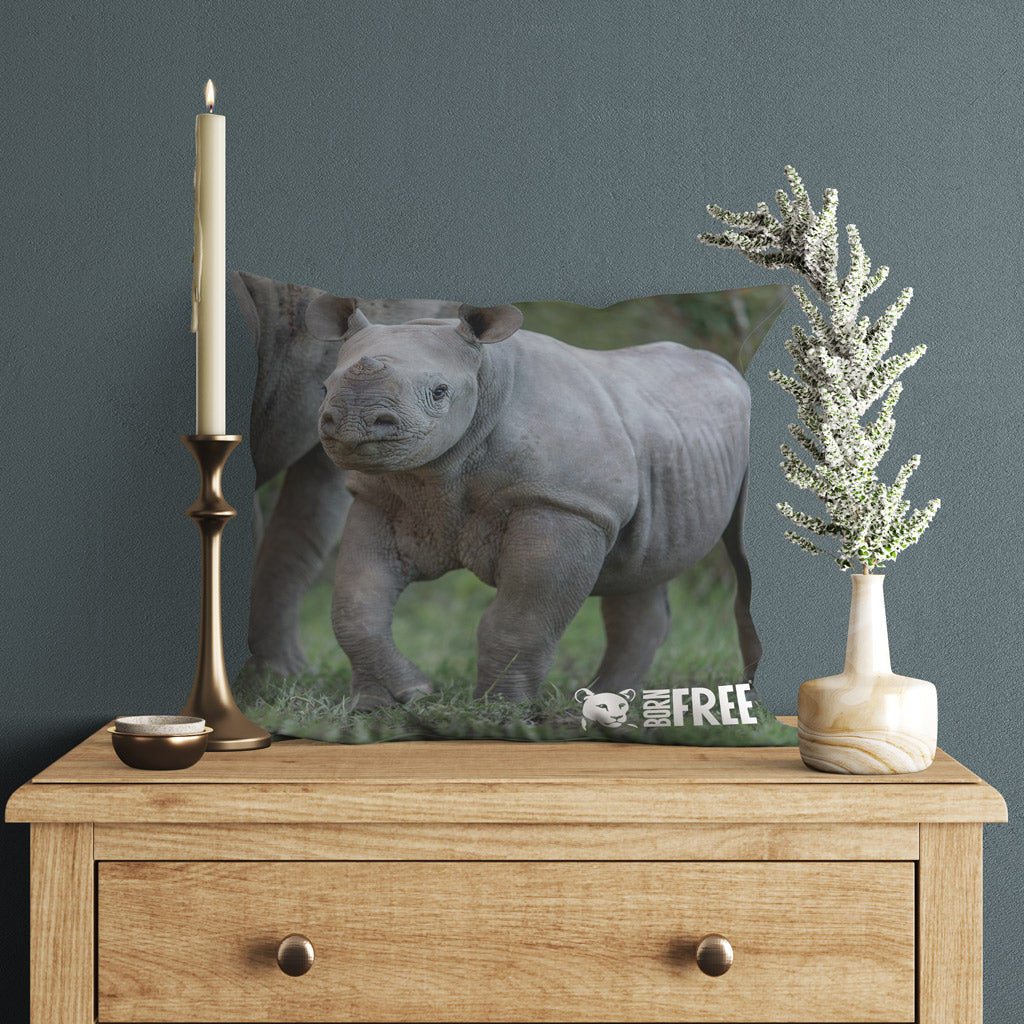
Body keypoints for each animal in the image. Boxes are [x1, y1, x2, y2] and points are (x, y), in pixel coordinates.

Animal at [307, 294, 763, 709]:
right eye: (325, 387)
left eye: (439, 392)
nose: (353, 420)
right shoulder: (379, 497)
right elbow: (355, 606)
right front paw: (390, 700)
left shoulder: (564, 504)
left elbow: (521, 618)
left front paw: (501, 709)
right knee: (641, 570)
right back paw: (608, 701)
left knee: (743, 563)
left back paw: (751, 701)